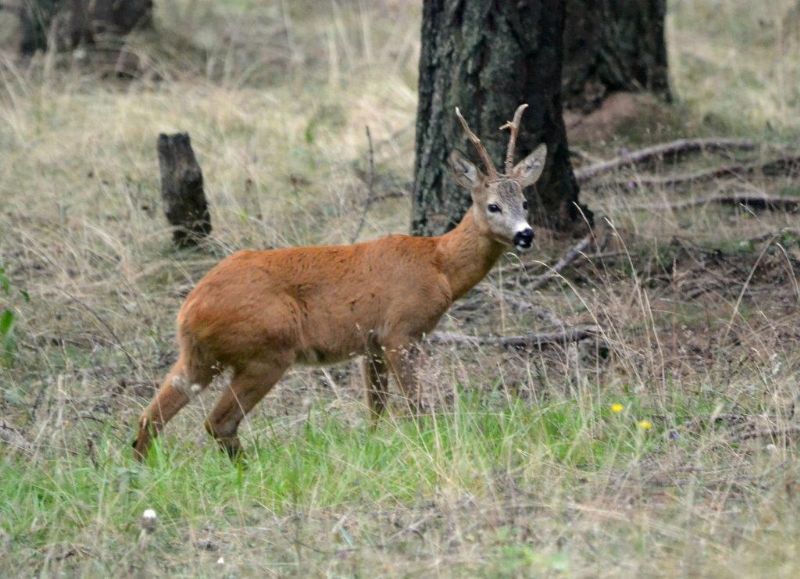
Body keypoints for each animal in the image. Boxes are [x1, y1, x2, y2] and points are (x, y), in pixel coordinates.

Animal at [134, 103, 548, 458]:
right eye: (493, 205)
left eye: (525, 202)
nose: (526, 235)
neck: (439, 264)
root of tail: (189, 310)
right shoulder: (400, 331)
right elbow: (415, 405)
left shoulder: (372, 343)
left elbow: (376, 409)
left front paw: (376, 444)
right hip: (266, 349)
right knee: (218, 422)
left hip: (199, 357)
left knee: (150, 417)